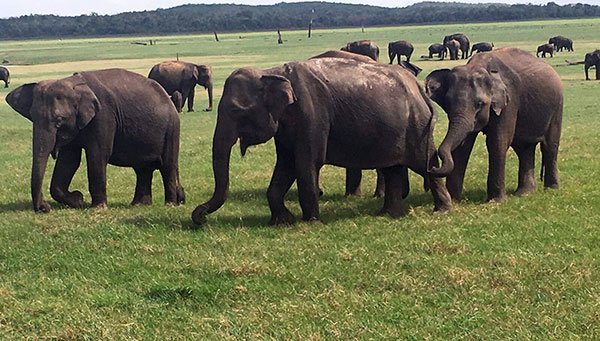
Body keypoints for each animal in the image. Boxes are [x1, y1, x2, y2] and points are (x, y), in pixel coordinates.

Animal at [5, 68, 185, 212]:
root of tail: (169, 99)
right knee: (143, 169)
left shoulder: (103, 115)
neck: (72, 83)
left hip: (172, 129)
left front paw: (96, 208)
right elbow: (69, 161)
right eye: (32, 118)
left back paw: (170, 205)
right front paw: (77, 200)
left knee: (167, 166)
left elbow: (97, 155)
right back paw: (139, 205)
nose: (44, 208)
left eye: (59, 120)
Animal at [192, 57, 450, 226]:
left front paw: (311, 223)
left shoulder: (312, 114)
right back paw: (387, 215)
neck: (272, 71)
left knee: (426, 164)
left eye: (236, 110)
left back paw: (442, 210)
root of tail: (419, 88)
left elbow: (307, 163)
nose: (199, 217)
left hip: (417, 128)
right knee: (393, 169)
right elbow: (285, 165)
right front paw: (282, 221)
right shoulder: (286, 126)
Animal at [422, 47, 564, 202]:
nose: (432, 168)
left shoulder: (509, 101)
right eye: (448, 104)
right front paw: (454, 200)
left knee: (549, 147)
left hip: (557, 107)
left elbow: (497, 142)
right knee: (524, 149)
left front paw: (495, 202)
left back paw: (551, 189)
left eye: (480, 104)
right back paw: (524, 193)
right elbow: (463, 146)